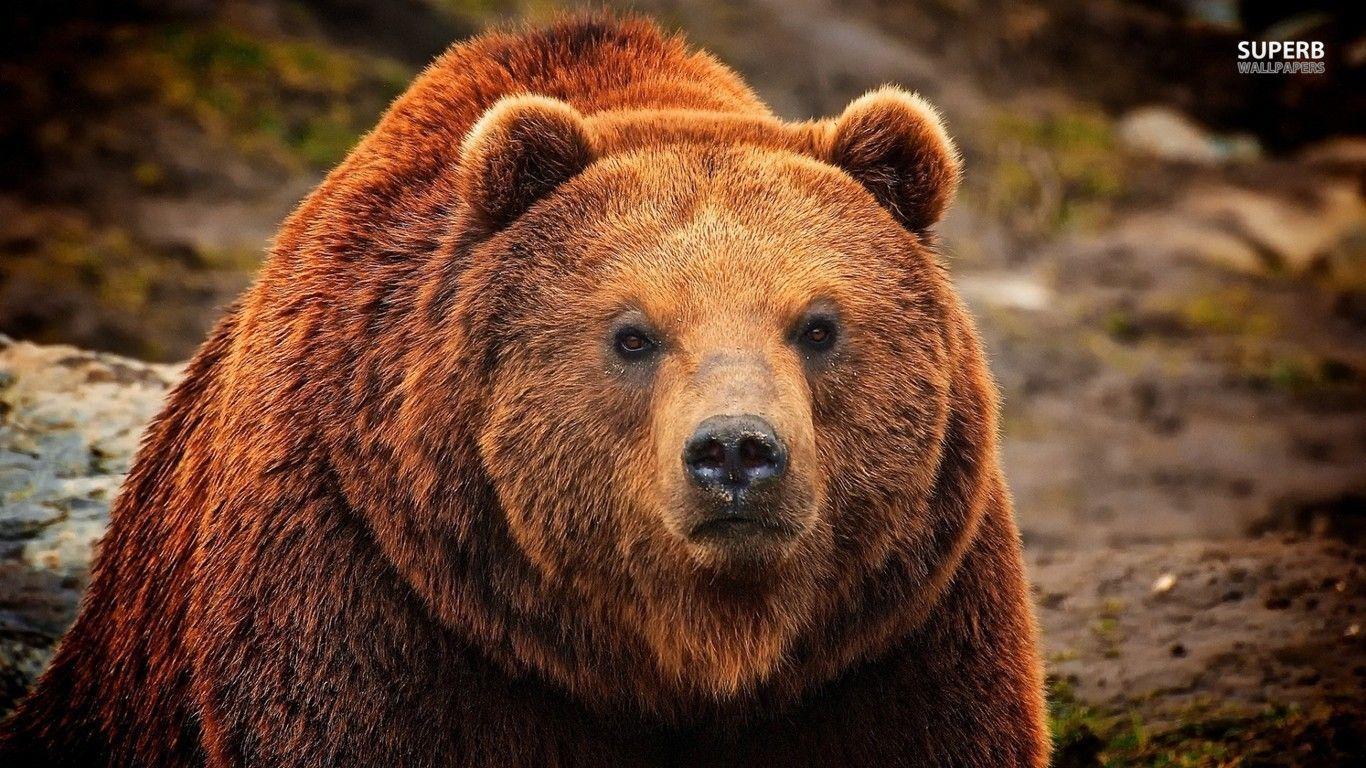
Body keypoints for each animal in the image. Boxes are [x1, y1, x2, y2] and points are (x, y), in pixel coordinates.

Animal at [0, 14, 1048, 767]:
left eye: (819, 325)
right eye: (632, 334)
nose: (736, 453)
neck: (683, 654)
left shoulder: (890, 636)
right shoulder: (375, 596)